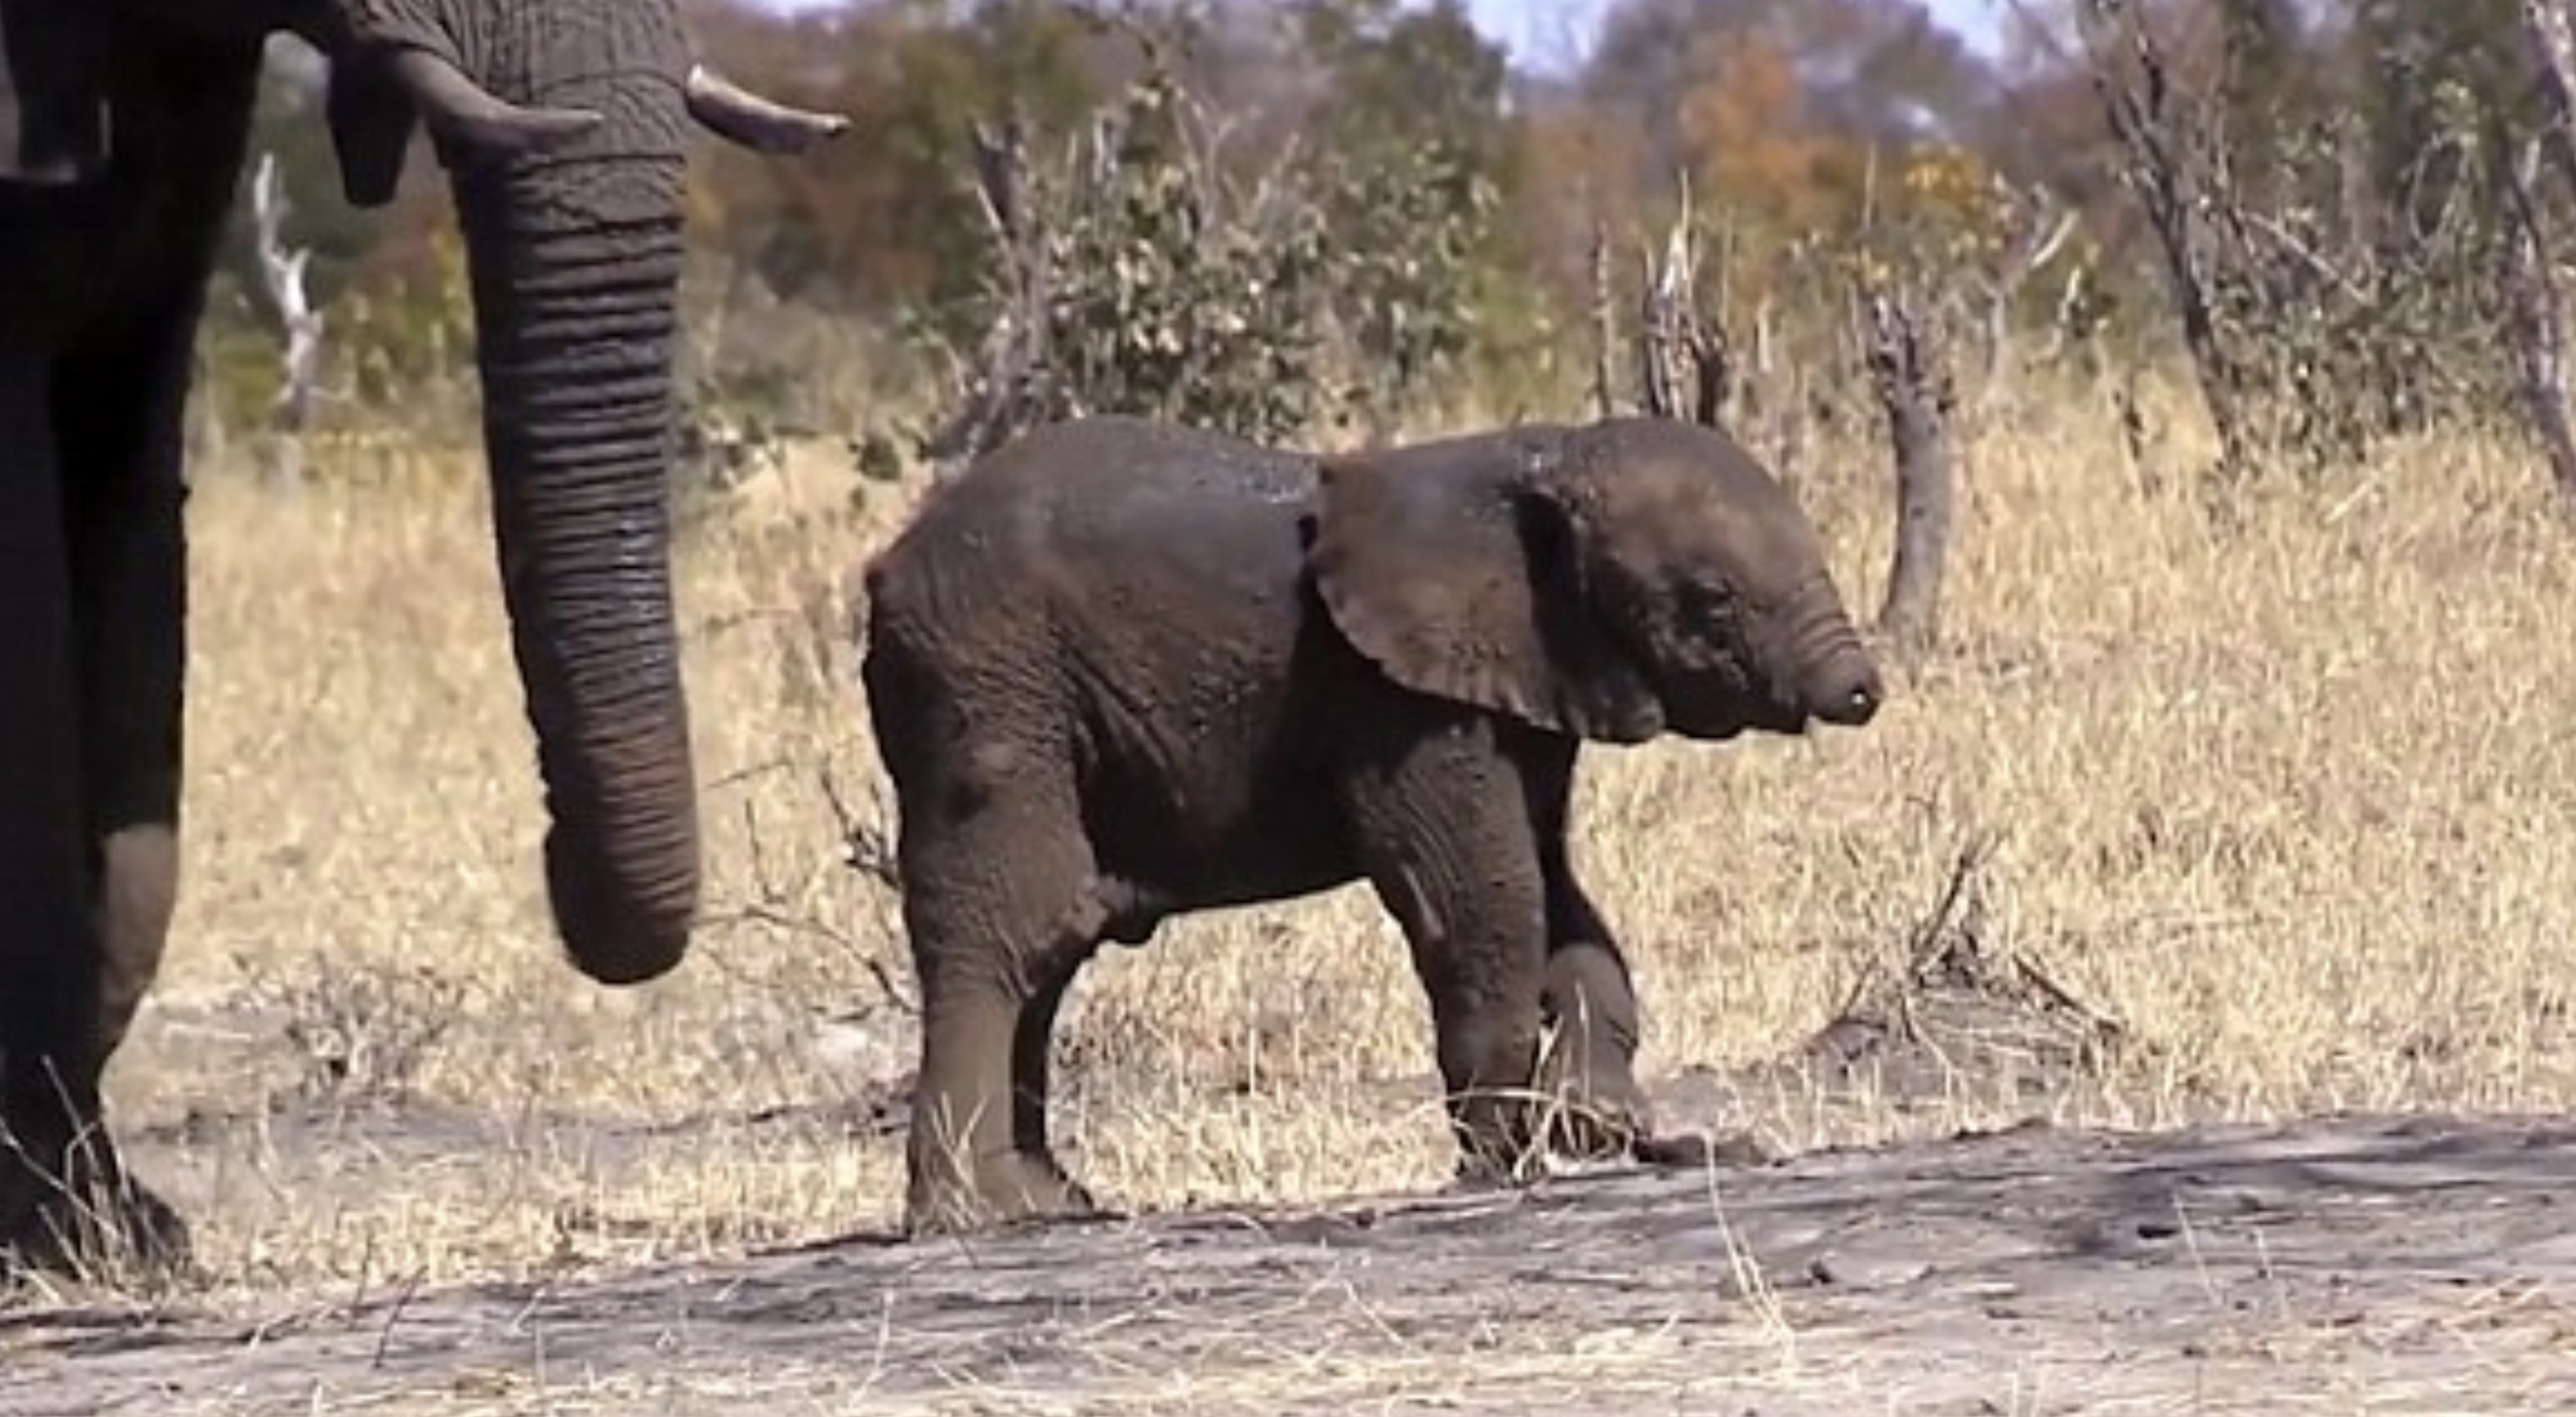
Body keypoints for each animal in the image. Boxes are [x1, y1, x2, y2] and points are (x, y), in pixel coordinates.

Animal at [855, 412, 1885, 1231]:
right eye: (1709, 599)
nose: (1861, 693)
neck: (1531, 454)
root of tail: (886, 566)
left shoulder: (1525, 679)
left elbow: (1559, 894)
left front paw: (1590, 1123)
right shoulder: (1398, 700)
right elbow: (1481, 897)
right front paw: (1500, 1162)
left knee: (1050, 949)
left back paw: (1051, 1206)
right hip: (988, 687)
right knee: (1017, 925)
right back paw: (973, 1217)